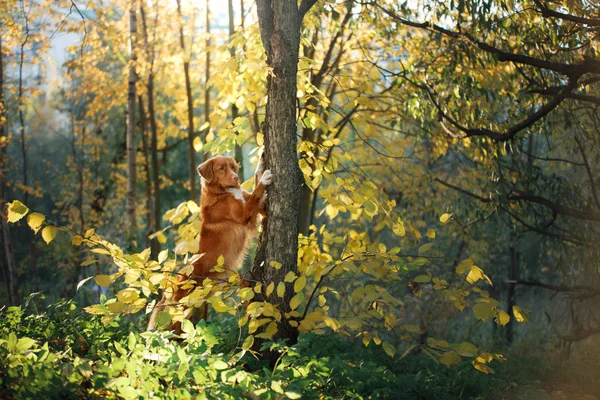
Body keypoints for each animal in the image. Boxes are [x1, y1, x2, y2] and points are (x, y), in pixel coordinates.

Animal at [148, 153, 272, 332]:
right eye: (221, 169)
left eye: (232, 167)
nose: (235, 177)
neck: (222, 192)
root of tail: (173, 285)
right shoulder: (245, 214)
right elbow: (256, 192)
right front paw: (265, 178)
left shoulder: (259, 208)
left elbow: (255, 184)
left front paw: (261, 160)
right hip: (179, 317)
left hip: (198, 313)